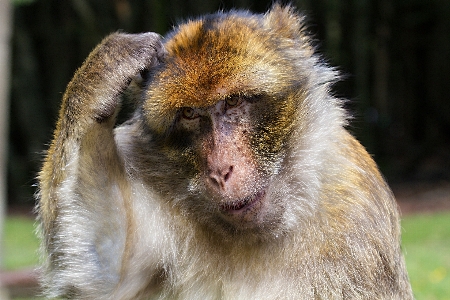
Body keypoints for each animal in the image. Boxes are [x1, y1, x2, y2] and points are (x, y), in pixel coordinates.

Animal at [37, 3, 414, 298]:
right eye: (190, 114)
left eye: (233, 102)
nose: (221, 170)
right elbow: (104, 272)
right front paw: (105, 68)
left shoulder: (353, 210)